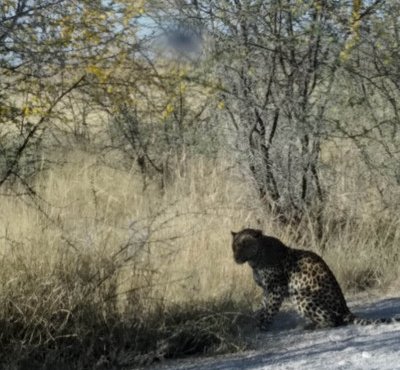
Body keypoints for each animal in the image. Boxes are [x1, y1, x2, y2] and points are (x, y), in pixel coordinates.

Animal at [231, 228, 400, 330]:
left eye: (244, 245)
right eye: (234, 246)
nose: (235, 257)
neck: (255, 260)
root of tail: (346, 309)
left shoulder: (276, 288)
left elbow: (270, 309)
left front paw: (262, 326)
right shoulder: (267, 289)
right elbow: (263, 307)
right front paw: (259, 322)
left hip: (301, 296)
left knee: (332, 321)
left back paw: (310, 326)